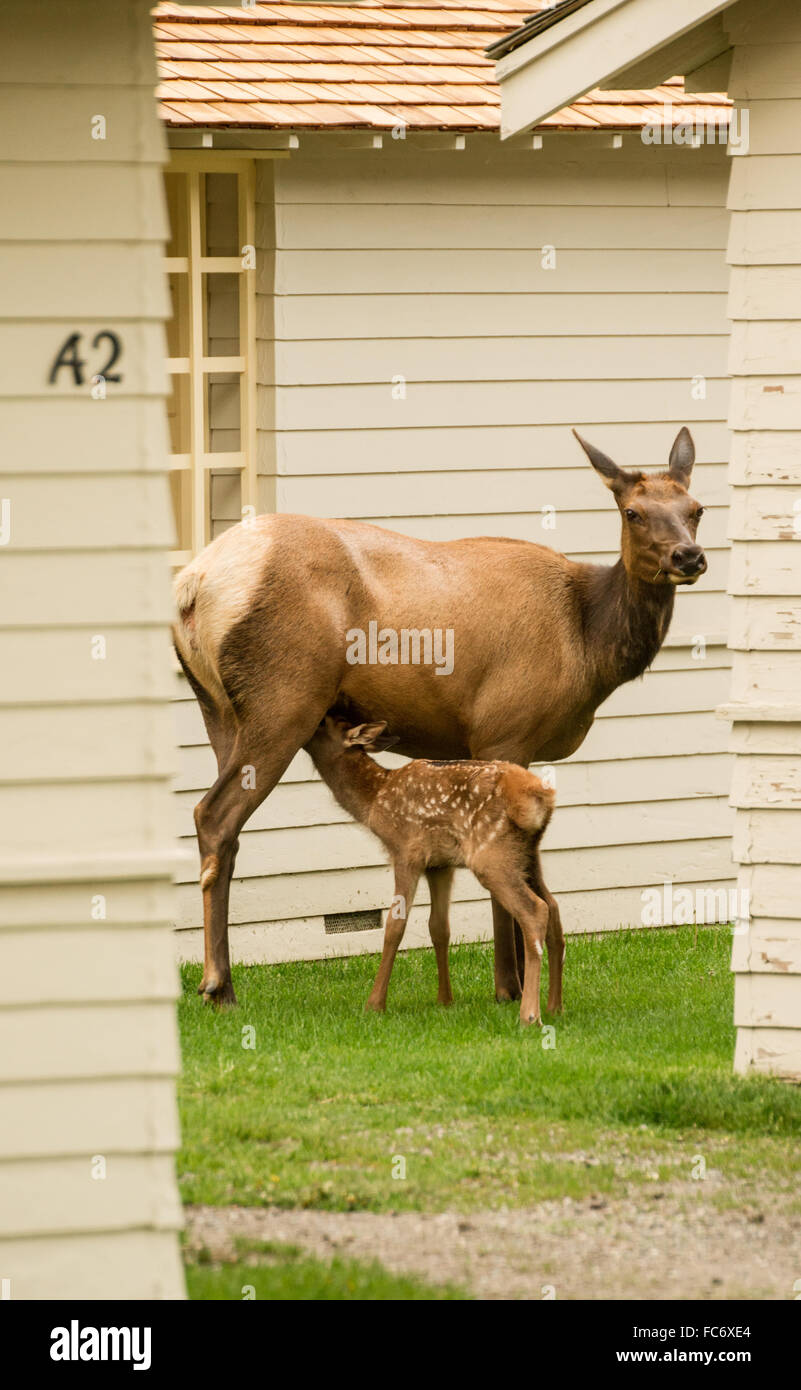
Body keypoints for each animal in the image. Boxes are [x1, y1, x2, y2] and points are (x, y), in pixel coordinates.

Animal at [303, 722, 559, 1028]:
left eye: (322, 725)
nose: (307, 729)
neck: (375, 800)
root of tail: (539, 799)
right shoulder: (440, 865)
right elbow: (439, 927)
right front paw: (444, 1000)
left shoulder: (406, 851)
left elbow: (395, 926)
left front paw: (374, 1004)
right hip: (528, 854)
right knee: (554, 907)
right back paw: (555, 1006)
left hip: (491, 854)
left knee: (535, 910)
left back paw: (530, 1015)